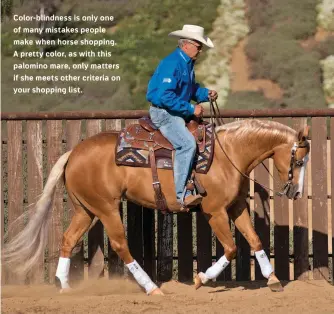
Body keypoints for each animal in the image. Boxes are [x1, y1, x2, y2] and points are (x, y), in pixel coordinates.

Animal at [2, 118, 310, 294]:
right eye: (298, 161)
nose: (295, 192)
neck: (228, 154)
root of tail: (73, 153)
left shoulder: (235, 207)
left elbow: (255, 239)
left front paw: (273, 280)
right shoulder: (215, 211)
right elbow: (232, 248)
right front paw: (201, 279)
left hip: (85, 210)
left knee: (68, 239)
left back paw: (65, 286)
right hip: (106, 209)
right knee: (120, 245)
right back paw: (152, 288)